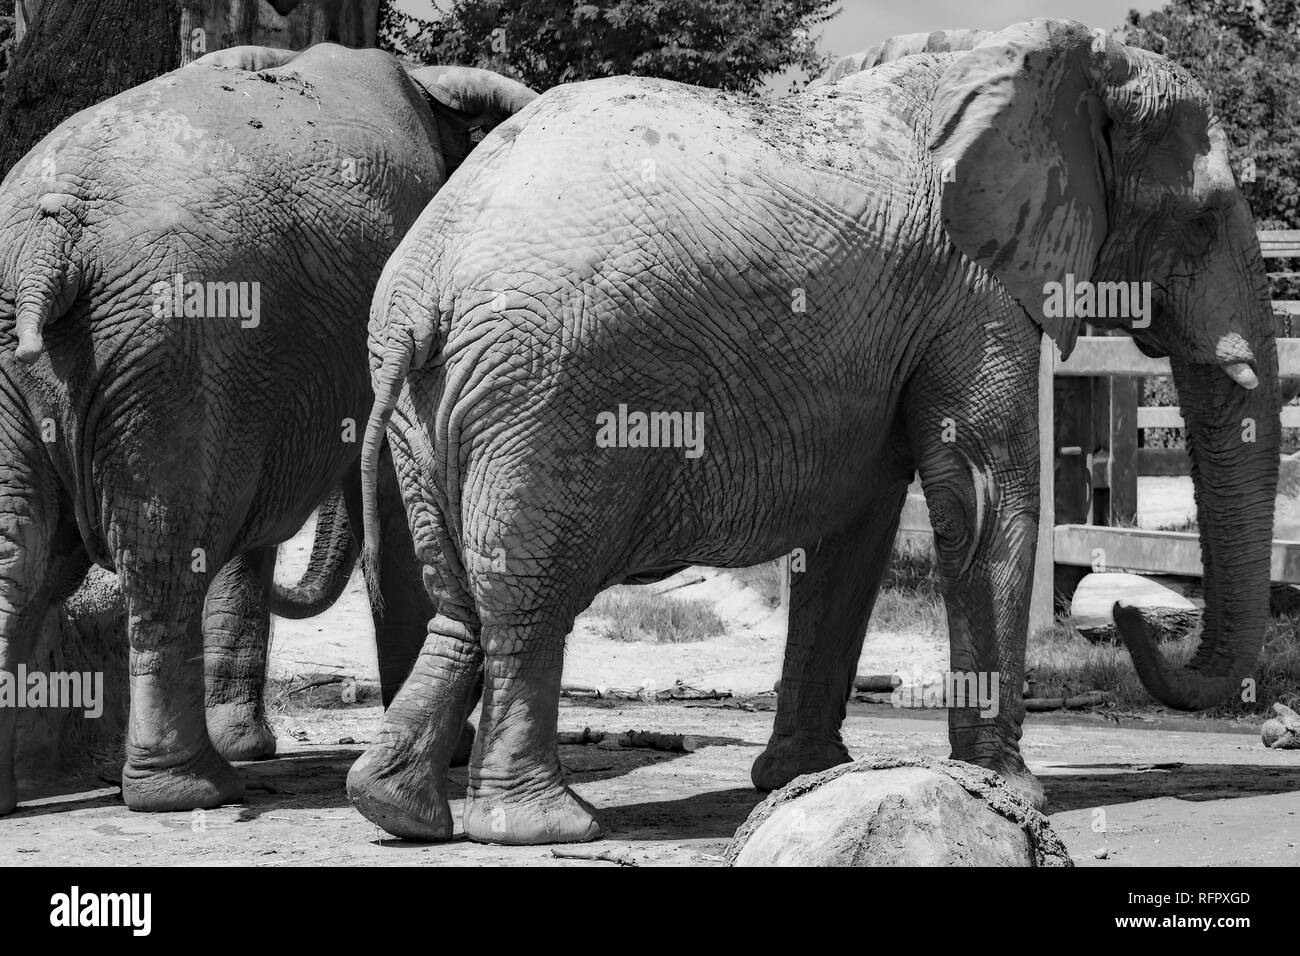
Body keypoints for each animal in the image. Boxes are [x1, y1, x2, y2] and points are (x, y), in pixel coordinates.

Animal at [0, 39, 533, 816]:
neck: (432, 82)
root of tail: (50, 235)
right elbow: (393, 509)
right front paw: (456, 750)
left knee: (26, 553)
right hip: (173, 343)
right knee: (164, 547)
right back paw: (193, 789)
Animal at [343, 20, 1279, 842]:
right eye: (1202, 219)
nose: (1125, 608)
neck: (1032, 55)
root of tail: (426, 289)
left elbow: (856, 529)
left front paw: (804, 779)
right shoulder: (973, 290)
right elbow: (986, 501)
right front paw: (1010, 792)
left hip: (438, 406)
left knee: (460, 601)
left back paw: (396, 809)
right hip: (548, 398)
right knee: (528, 599)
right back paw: (546, 826)